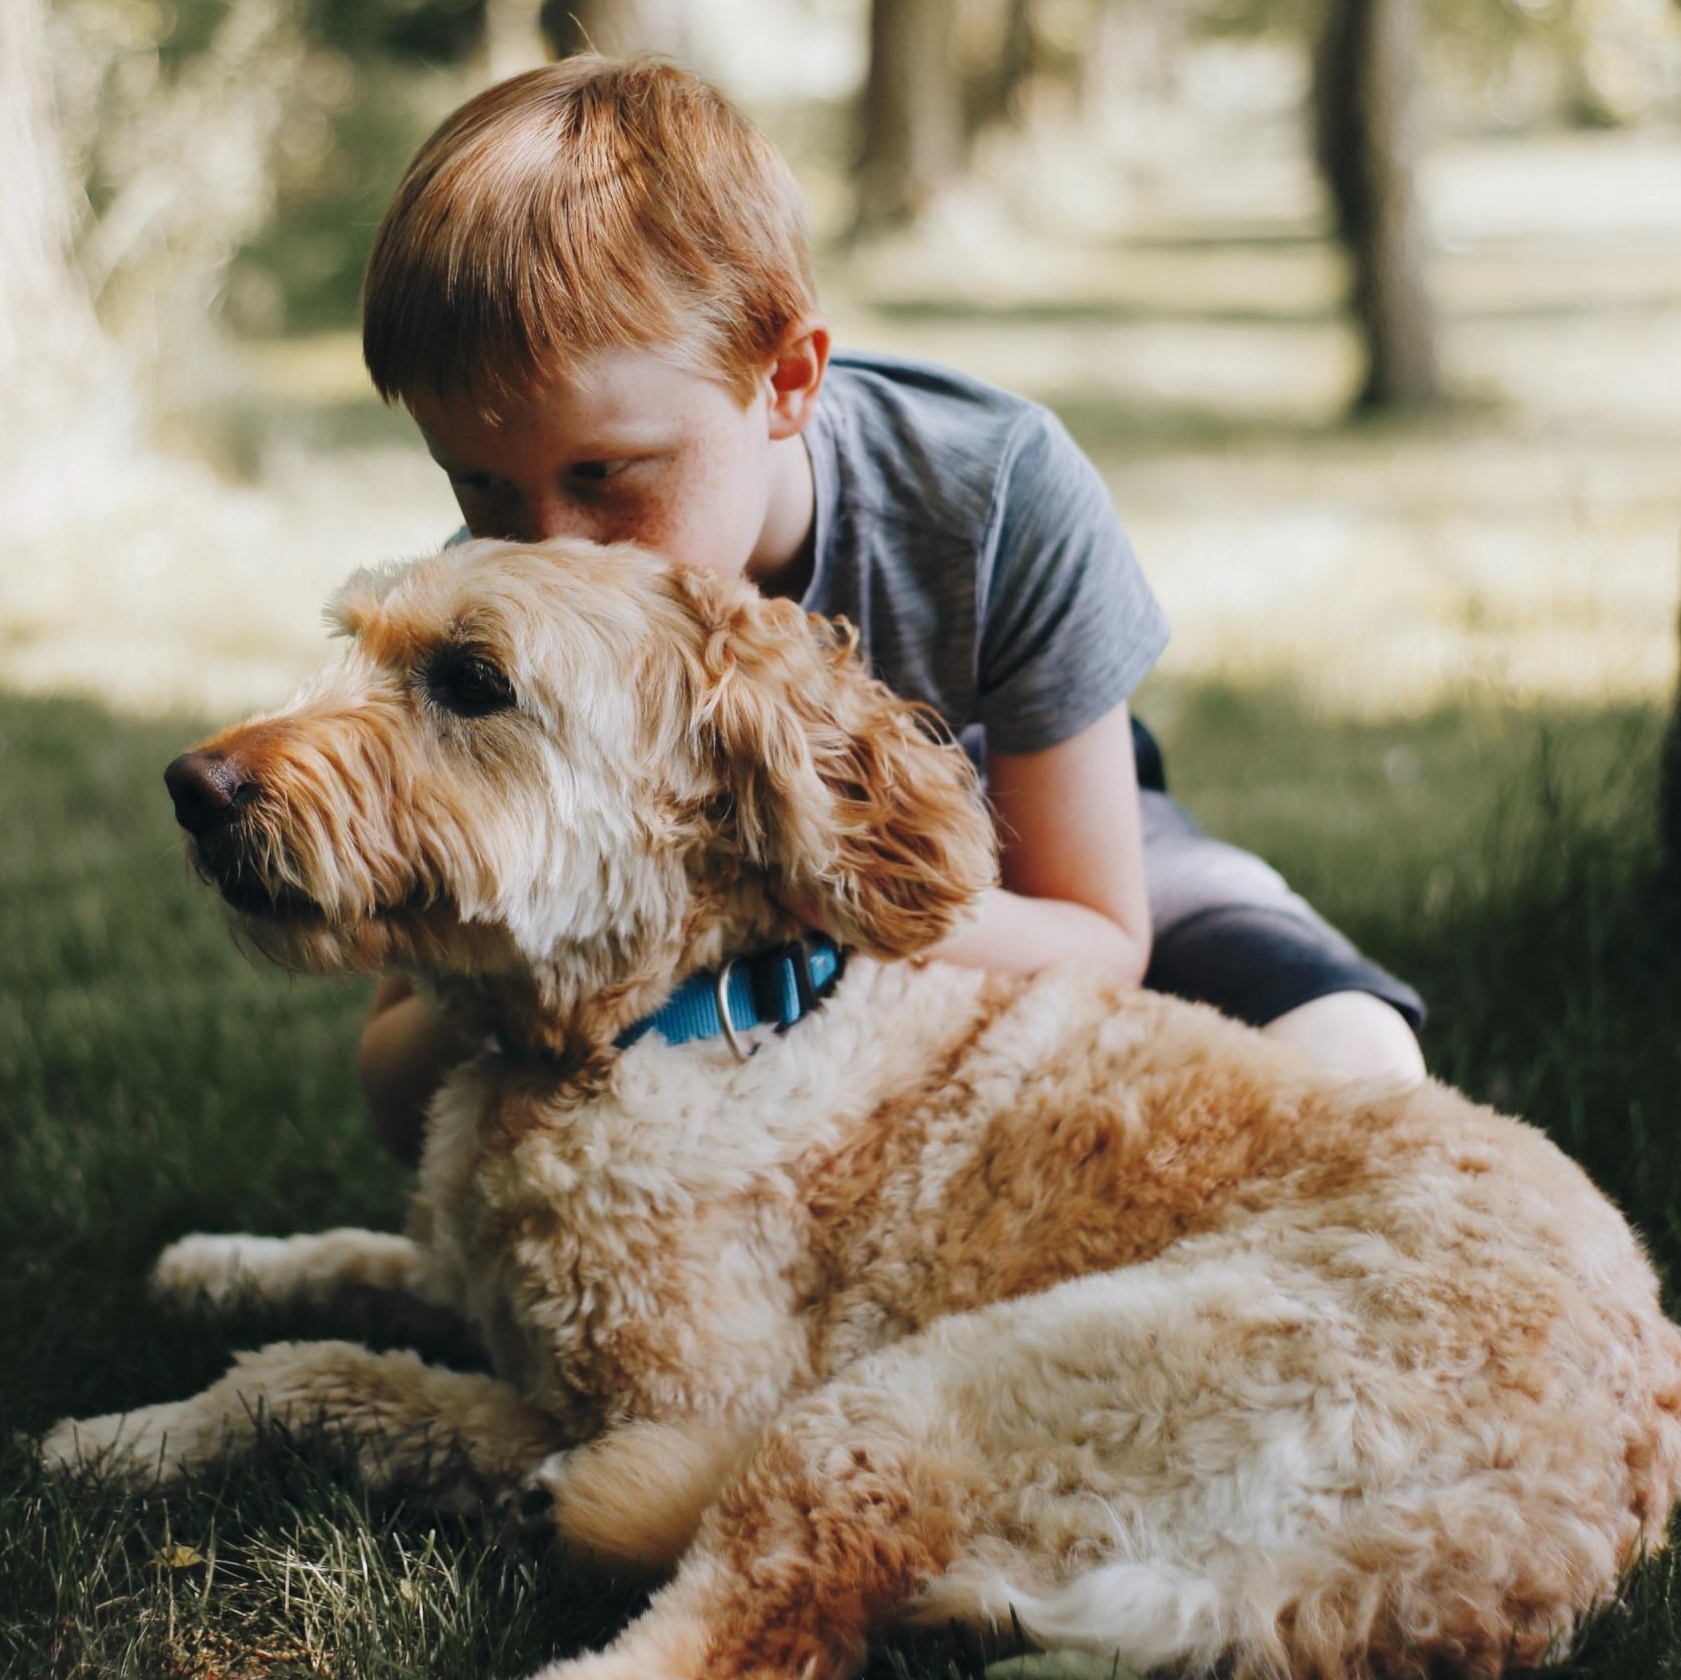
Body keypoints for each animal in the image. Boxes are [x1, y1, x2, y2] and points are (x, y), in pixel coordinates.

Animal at [36, 538, 1681, 1680]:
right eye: (361, 645)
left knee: (749, 1631)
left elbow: (325, 1375)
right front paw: (208, 1279)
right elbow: (343, 1281)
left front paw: (122, 1432)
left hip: (911, 1407)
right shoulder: (483, 1281)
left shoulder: (680, 1399)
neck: (680, 1015)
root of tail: (1515, 1548)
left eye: (473, 683)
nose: (192, 785)